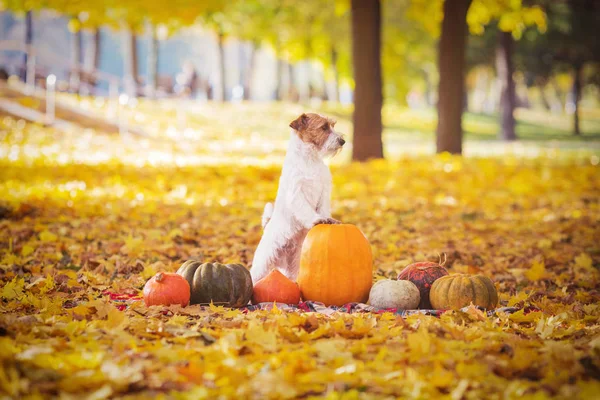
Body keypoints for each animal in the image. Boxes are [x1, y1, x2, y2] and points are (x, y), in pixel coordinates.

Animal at [250, 111, 344, 282]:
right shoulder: (297, 194)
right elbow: (306, 210)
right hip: (263, 264)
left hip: (293, 265)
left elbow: (323, 209)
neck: (310, 160)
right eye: (324, 127)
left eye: (333, 125)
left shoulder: (324, 191)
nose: (343, 141)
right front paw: (317, 220)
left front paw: (328, 220)